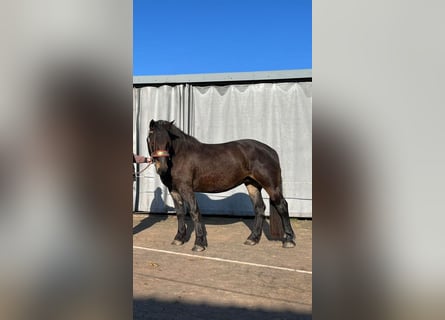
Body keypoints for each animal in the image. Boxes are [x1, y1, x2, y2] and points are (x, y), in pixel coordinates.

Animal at [147, 119, 296, 251]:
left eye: (168, 143)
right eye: (152, 140)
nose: (162, 168)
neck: (180, 155)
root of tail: (271, 151)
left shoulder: (186, 189)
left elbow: (194, 211)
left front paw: (199, 244)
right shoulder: (174, 190)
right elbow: (179, 213)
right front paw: (179, 238)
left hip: (271, 186)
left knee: (282, 205)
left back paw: (289, 240)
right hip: (252, 185)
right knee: (259, 208)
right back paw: (252, 239)